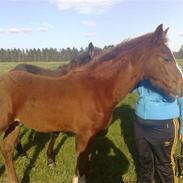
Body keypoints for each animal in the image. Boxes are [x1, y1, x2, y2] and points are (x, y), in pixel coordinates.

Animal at [0, 24, 183, 183]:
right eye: (166, 58)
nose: (181, 88)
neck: (97, 88)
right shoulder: (83, 136)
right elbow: (79, 172)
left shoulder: (91, 137)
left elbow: (86, 168)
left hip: (15, 125)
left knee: (7, 150)